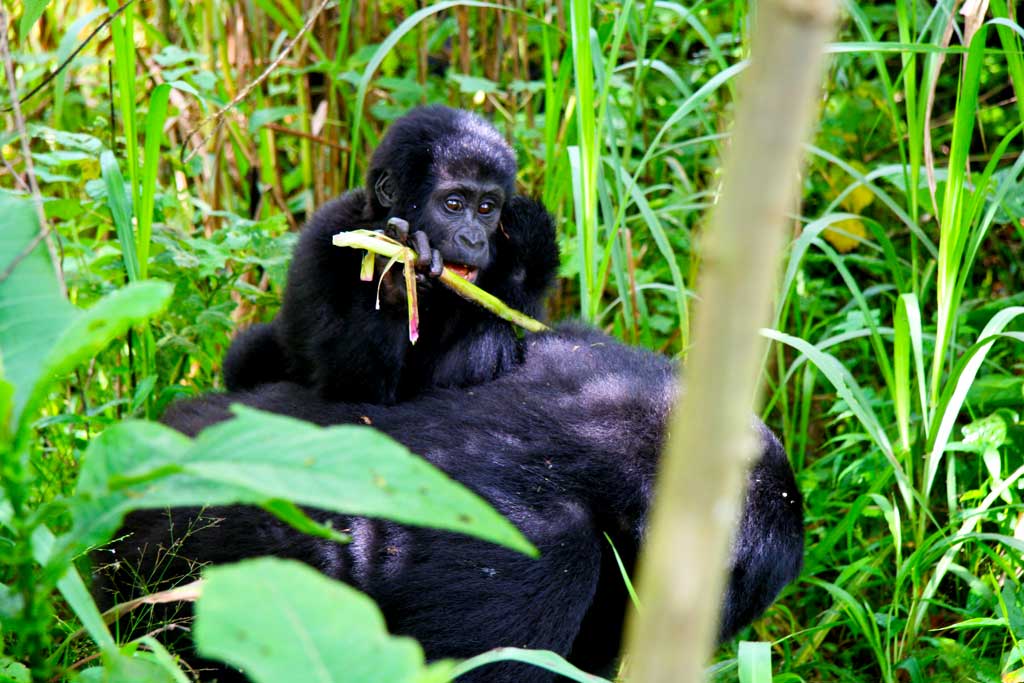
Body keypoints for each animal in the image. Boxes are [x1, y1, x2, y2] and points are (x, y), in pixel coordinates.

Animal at [224, 105, 561, 403]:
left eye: (486, 208)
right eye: (453, 204)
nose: (474, 240)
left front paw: (530, 238)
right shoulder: (320, 243)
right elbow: (350, 388)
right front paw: (397, 281)